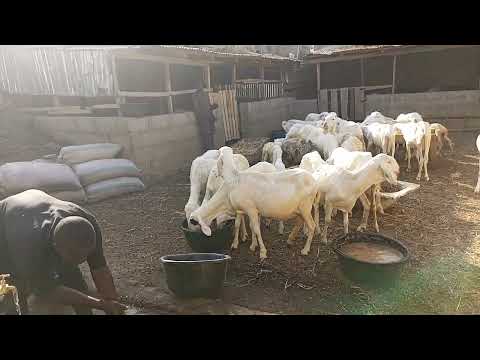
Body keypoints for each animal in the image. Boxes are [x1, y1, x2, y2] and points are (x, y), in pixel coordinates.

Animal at [188, 146, 318, 258]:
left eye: (192, 222)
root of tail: (313, 180)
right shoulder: (246, 210)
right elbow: (248, 226)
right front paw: (253, 245)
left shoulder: (250, 209)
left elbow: (256, 229)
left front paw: (262, 252)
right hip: (299, 208)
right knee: (300, 222)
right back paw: (290, 239)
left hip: (305, 206)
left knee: (312, 226)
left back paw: (305, 250)